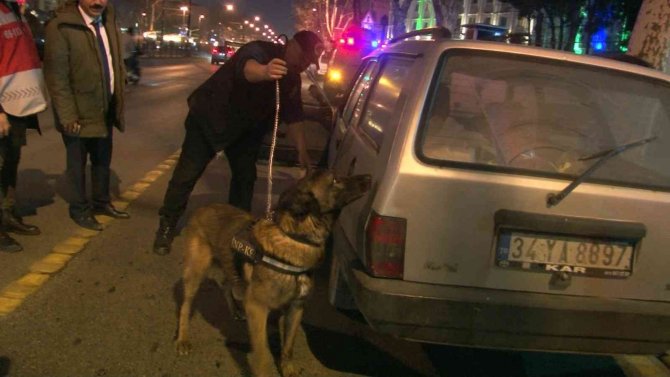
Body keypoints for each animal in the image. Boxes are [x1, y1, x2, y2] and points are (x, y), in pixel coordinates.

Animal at [176, 170, 372, 376]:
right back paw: (182, 339)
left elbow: (288, 347)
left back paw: (235, 310)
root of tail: (202, 208)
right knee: (185, 305)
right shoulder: (257, 308)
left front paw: (288, 369)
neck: (296, 238)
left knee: (226, 285)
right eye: (335, 180)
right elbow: (262, 355)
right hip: (195, 273)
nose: (369, 177)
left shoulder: (296, 308)